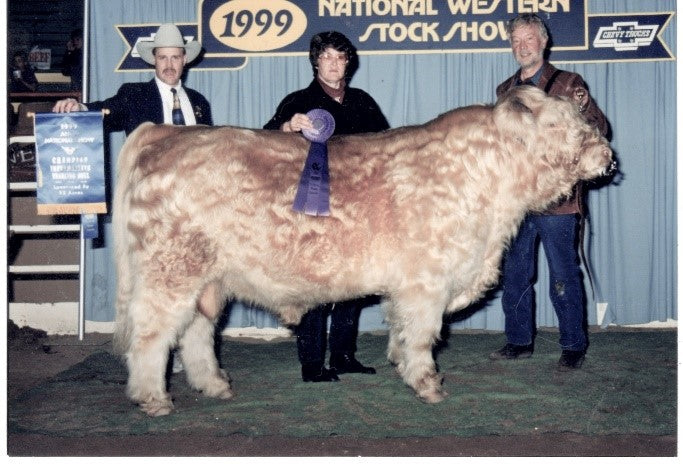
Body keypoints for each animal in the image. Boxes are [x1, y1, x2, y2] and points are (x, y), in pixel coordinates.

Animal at [112, 85, 613, 416]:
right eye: (563, 124)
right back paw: (154, 399)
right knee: (151, 335)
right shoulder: (426, 281)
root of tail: (163, 133)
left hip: (206, 278)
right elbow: (424, 334)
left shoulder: (409, 286)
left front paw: (400, 364)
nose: (608, 156)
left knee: (195, 332)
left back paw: (215, 386)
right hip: (170, 270)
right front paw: (428, 384)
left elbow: (401, 327)